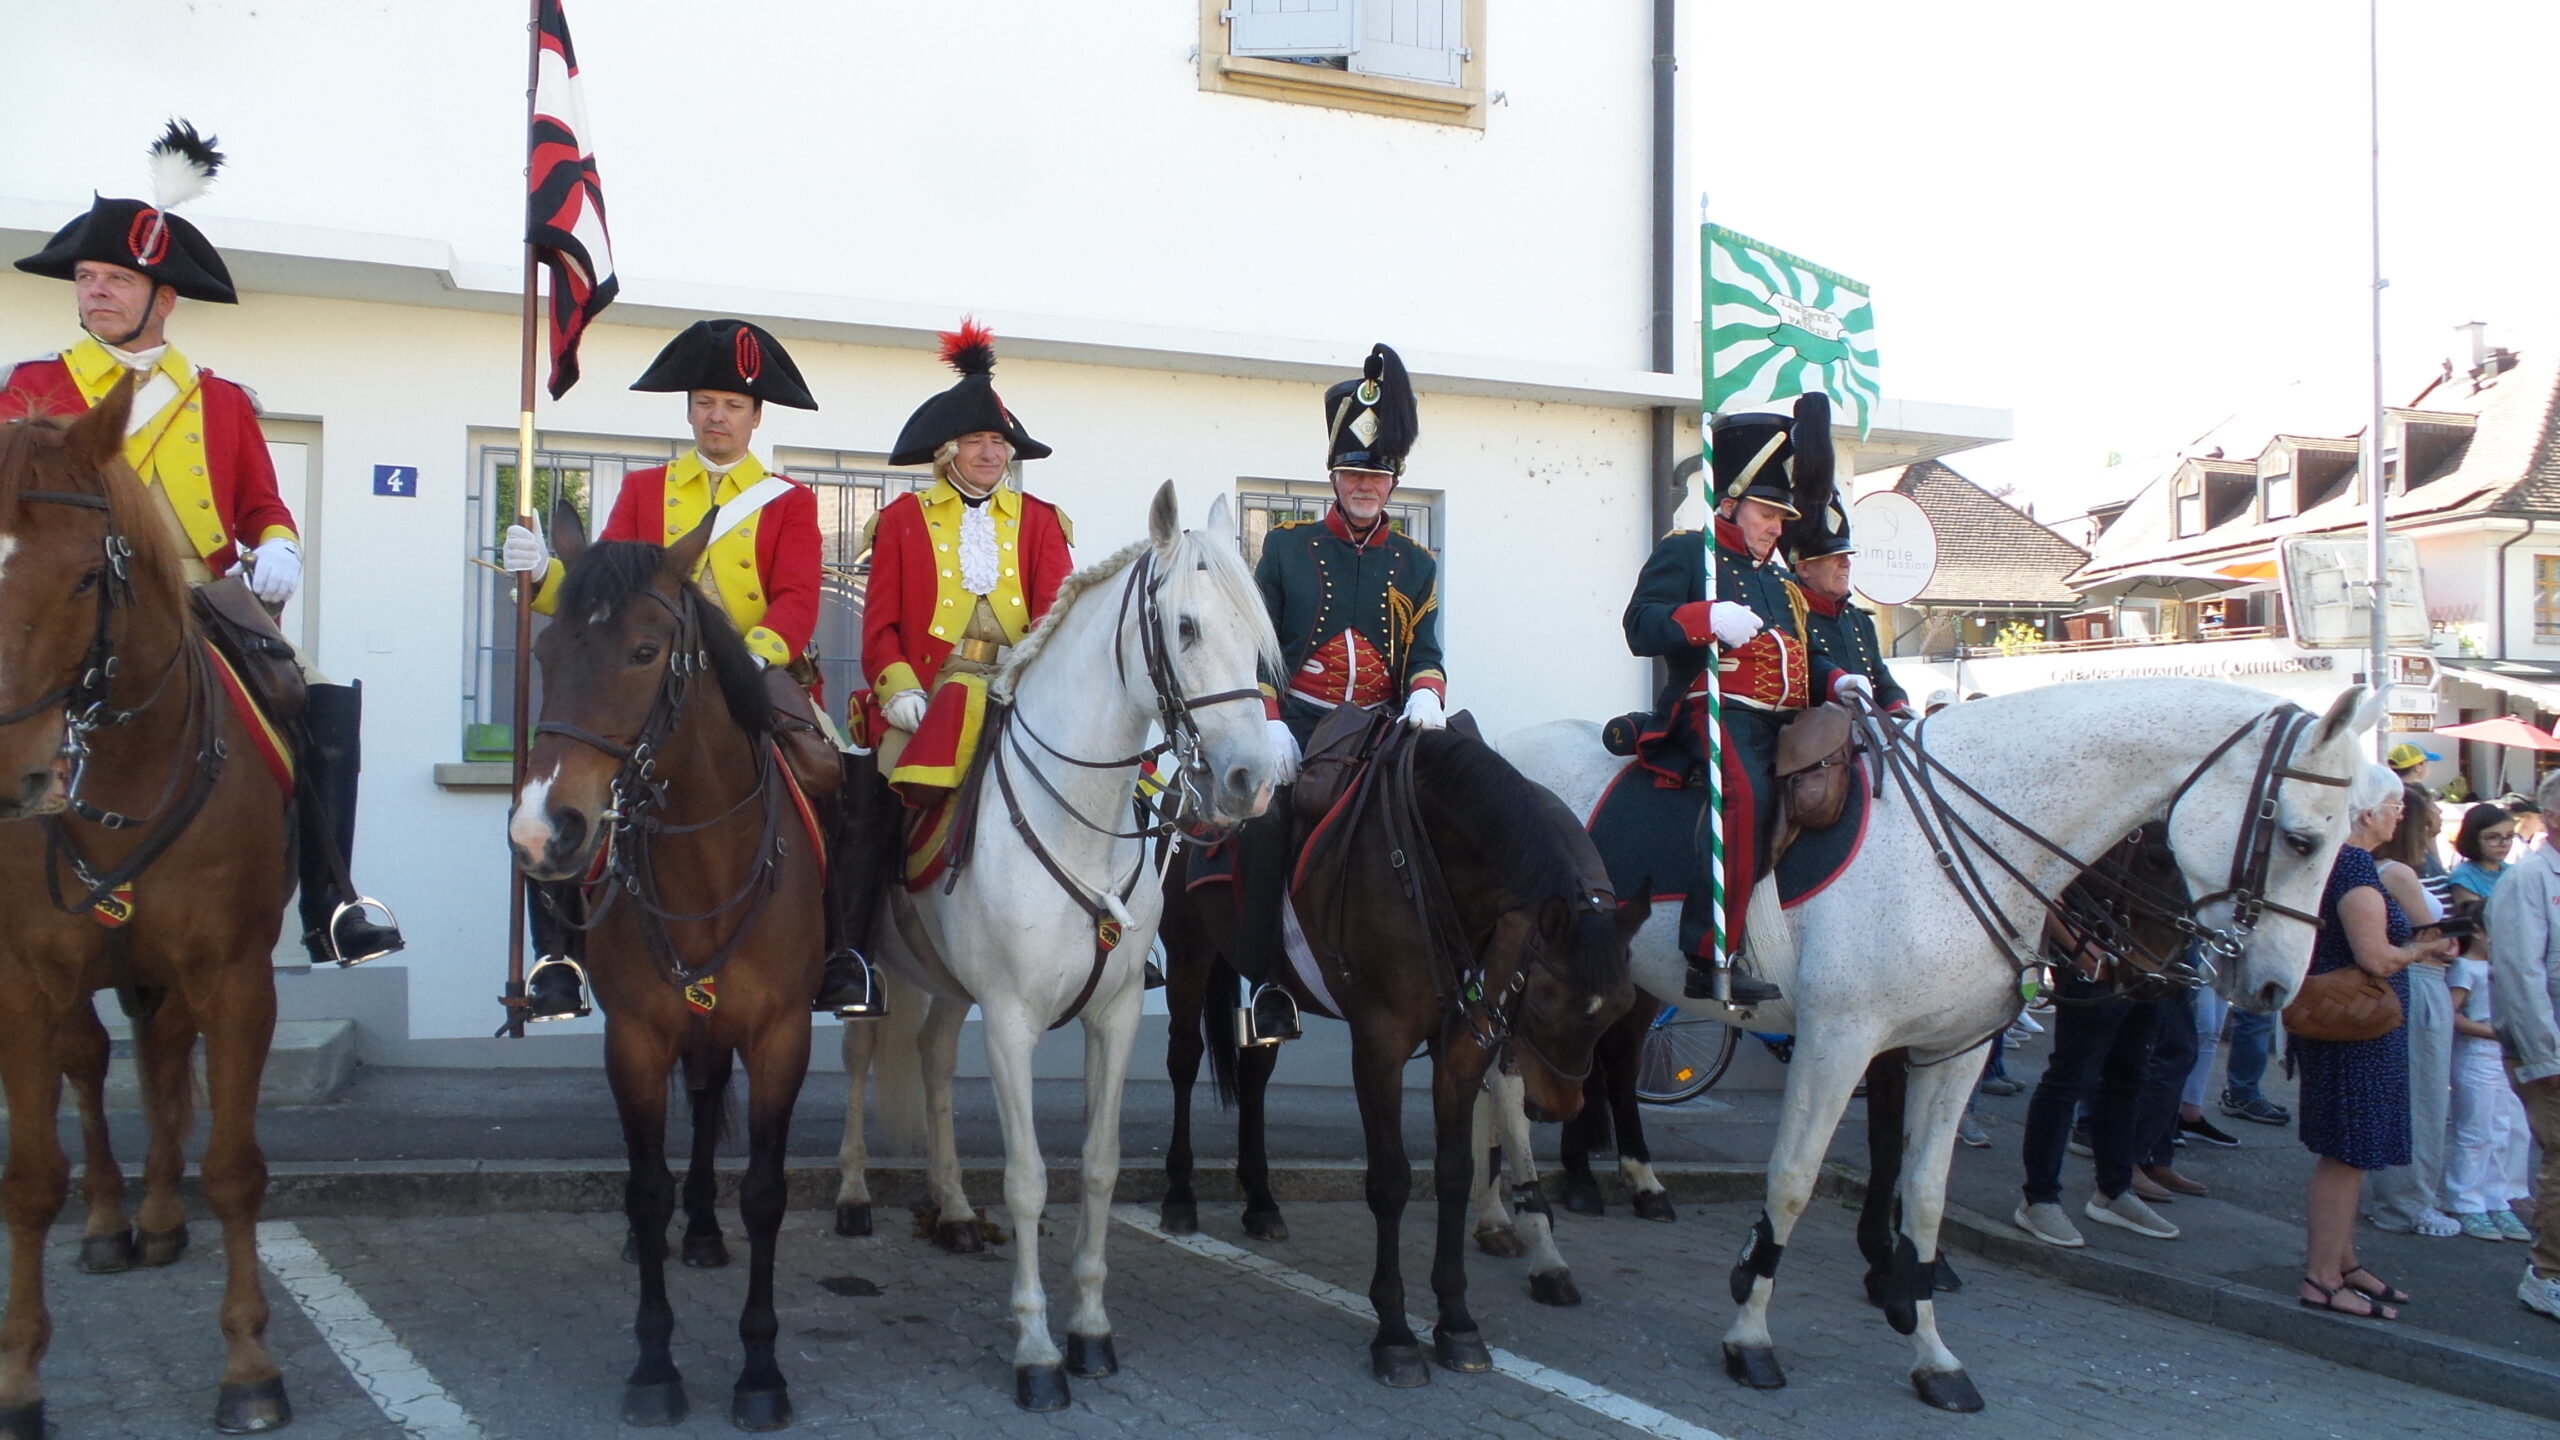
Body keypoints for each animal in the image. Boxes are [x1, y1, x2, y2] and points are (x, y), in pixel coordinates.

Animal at [0, 379, 300, 1437]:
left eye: (90, 575)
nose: (14, 775)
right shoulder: (23, 984)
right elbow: (29, 1179)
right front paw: (20, 1376)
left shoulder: (236, 977)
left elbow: (235, 1167)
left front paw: (249, 1365)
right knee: (96, 1065)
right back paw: (108, 1223)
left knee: (163, 1053)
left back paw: (162, 1216)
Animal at [507, 504, 831, 1432]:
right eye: (547, 650)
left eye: (646, 652)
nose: (541, 831)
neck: (707, 865)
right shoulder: (638, 1038)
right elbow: (644, 1188)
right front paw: (655, 1366)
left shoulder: (780, 1036)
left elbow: (764, 1193)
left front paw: (760, 1372)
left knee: (712, 1092)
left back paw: (707, 1233)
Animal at [833, 483, 1281, 1412]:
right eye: (1186, 627)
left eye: (1256, 630)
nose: (1251, 781)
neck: (1080, 817)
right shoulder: (1011, 1022)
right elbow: (1031, 1176)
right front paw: (1036, 1350)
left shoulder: (1114, 1017)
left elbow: (1099, 1167)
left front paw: (1090, 1330)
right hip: (878, 971)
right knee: (861, 1058)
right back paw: (855, 1193)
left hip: (948, 983)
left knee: (934, 1060)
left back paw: (953, 1210)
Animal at [1501, 678, 2375, 1409]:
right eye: (2302, 839)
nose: (2274, 990)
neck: (1967, 834)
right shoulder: (1840, 1040)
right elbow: (1793, 1180)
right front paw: (1750, 1331)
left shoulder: (1951, 1050)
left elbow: (1921, 1190)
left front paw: (1929, 1345)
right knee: (1516, 1090)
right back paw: (1541, 1223)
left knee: (1603, 1065)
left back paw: (1610, 1187)